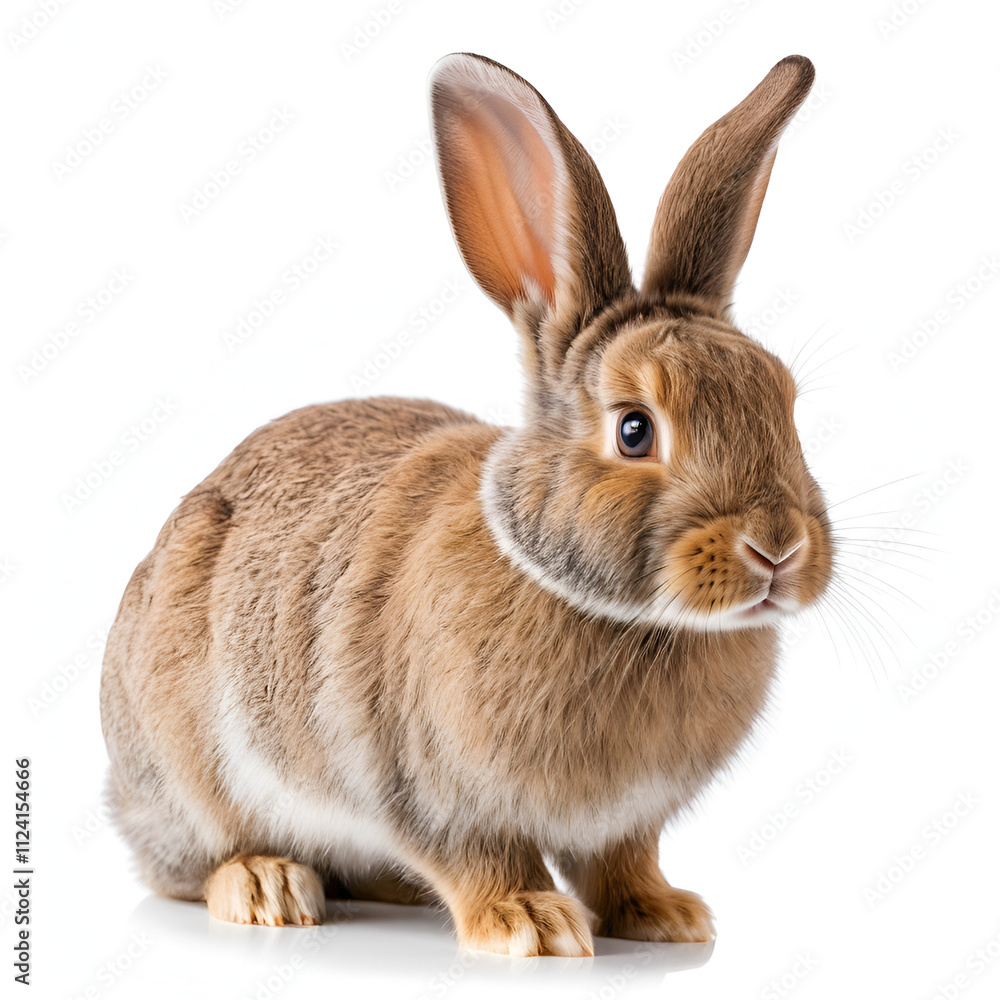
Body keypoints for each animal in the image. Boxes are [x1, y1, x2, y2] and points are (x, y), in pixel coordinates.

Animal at [100, 51, 832, 957]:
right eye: (634, 430)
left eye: (786, 403)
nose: (777, 547)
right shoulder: (427, 788)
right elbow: (481, 858)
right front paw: (530, 923)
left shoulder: (627, 822)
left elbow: (623, 862)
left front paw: (666, 914)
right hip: (187, 769)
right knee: (198, 860)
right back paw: (268, 886)